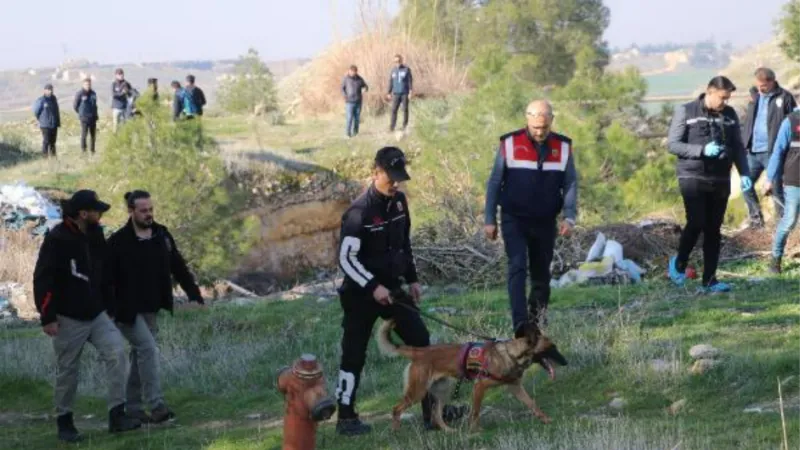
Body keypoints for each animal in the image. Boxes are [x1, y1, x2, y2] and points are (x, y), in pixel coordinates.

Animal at [378, 318, 564, 430]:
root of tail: (419, 352)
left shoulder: (516, 388)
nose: (565, 362)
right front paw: (474, 431)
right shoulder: (479, 387)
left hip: (443, 391)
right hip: (417, 392)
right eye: (551, 348)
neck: (510, 354)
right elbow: (475, 411)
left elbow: (532, 404)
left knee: (436, 414)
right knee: (396, 409)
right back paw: (395, 431)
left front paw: (545, 419)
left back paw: (448, 431)